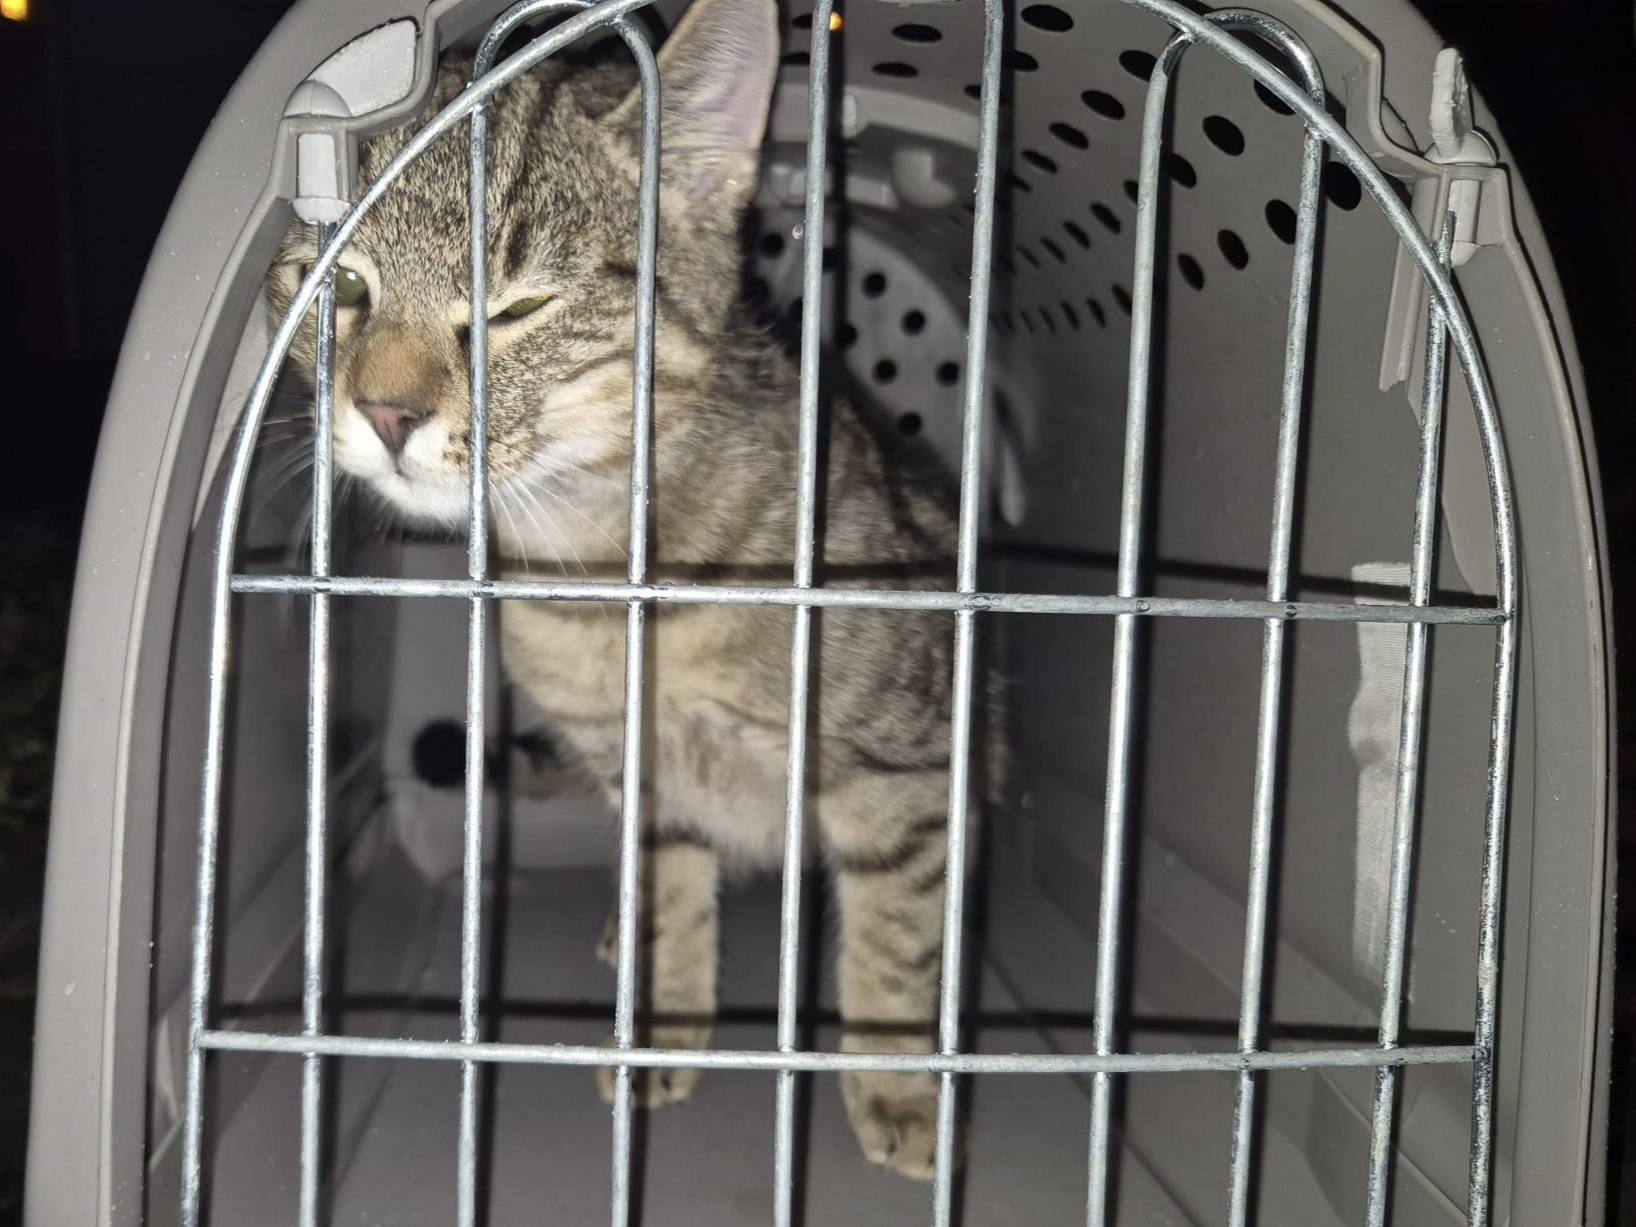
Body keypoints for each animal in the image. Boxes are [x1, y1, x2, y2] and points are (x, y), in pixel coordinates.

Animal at [268, 0, 996, 1180]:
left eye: (517, 306)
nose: (383, 414)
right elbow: (668, 897)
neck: (605, 575)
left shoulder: (904, 767)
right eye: (339, 283)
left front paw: (899, 1083)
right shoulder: (636, 774)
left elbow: (894, 935)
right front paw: (658, 1018)